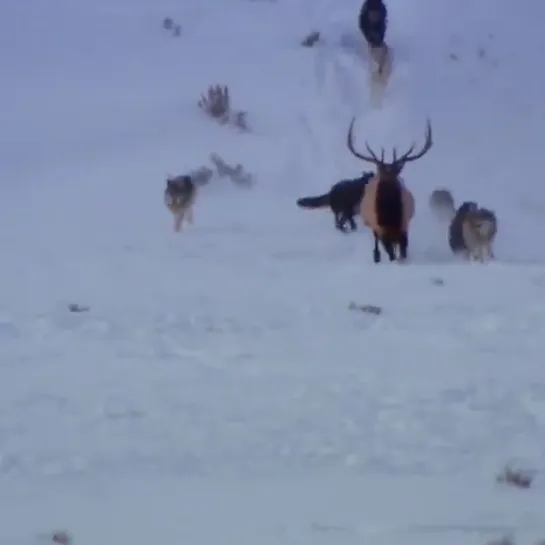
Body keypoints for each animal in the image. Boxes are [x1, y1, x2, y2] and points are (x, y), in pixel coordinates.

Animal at [346, 117, 432, 264]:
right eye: (382, 172)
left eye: (396, 173)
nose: (387, 184)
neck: (391, 218)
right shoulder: (381, 230)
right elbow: (391, 254)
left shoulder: (403, 227)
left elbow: (403, 252)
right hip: (373, 225)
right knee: (377, 242)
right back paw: (376, 256)